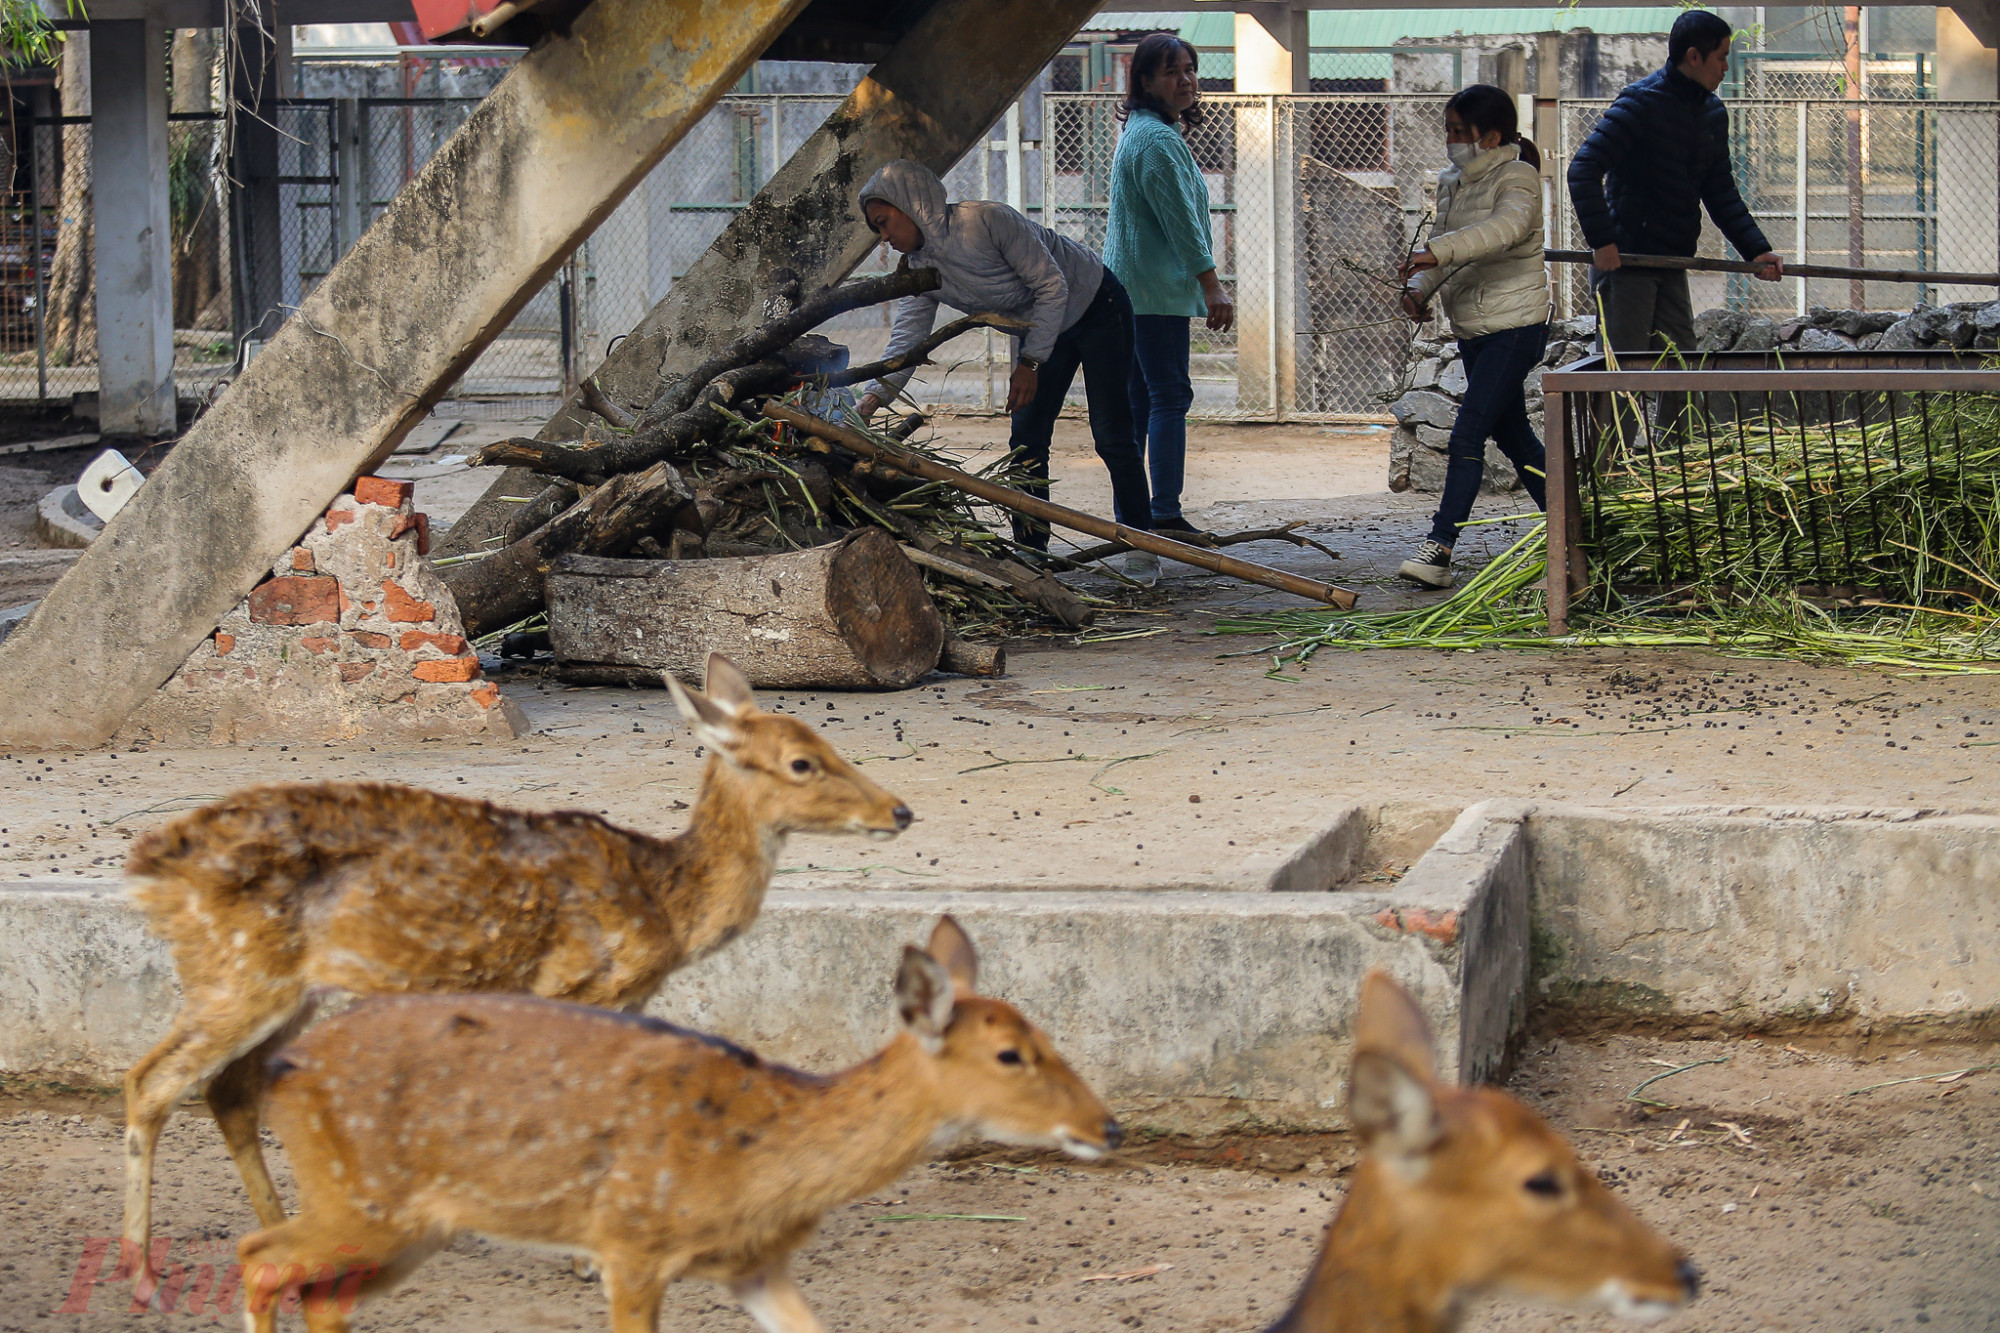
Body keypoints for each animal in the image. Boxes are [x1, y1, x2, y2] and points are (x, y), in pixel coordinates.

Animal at [117, 652, 916, 1296]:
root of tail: (150, 867)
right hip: (237, 968)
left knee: (229, 1089)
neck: (665, 905)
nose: (900, 810)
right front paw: (586, 1256)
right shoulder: (576, 987)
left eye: (829, 744)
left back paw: (289, 1237)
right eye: (802, 762)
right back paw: (142, 1271)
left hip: (285, 986)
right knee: (151, 1080)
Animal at [234, 912, 1128, 1328]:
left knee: (317, 1292)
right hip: (361, 1198)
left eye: (1050, 1033)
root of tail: (286, 1068)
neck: (760, 1163)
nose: (1109, 1126)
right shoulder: (630, 1240)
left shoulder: (754, 1266)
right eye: (1011, 1054)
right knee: (259, 1256)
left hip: (410, 1224)